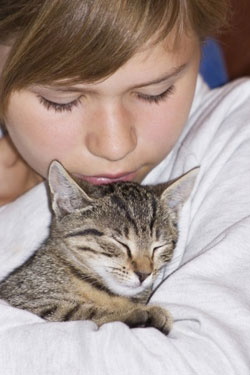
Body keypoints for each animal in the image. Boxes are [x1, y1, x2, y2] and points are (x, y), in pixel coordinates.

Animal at [0, 162, 197, 334]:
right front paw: (141, 313)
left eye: (158, 246)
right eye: (120, 242)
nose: (144, 274)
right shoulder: (31, 303)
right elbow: (83, 312)